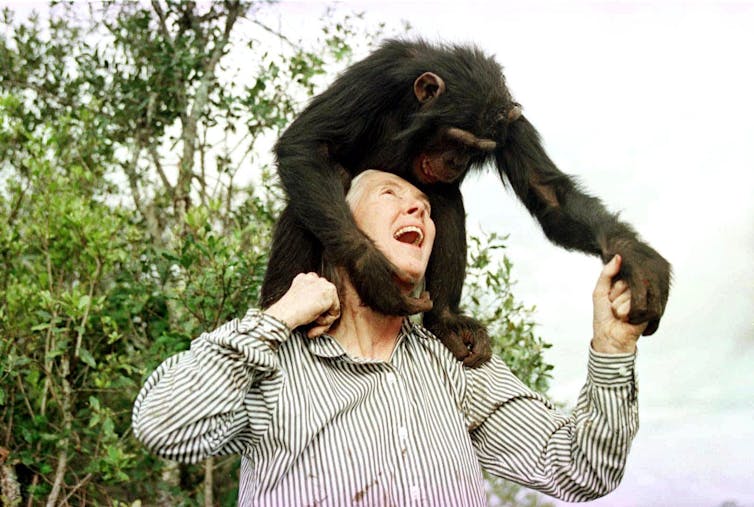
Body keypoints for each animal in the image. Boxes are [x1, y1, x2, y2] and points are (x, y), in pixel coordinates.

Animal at [260, 38, 668, 366]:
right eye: (454, 139)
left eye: (475, 149)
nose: (455, 161)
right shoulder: (376, 75)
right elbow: (307, 143)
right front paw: (373, 275)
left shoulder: (512, 126)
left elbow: (548, 193)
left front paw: (637, 259)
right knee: (312, 197)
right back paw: (279, 305)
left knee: (446, 199)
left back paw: (445, 320)